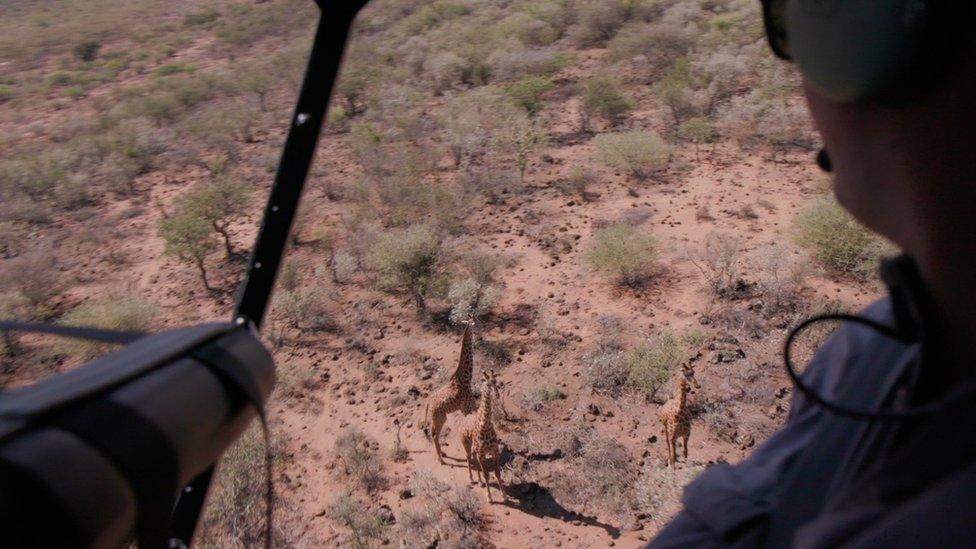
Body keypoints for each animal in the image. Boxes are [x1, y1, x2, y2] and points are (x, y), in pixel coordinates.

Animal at [422, 324, 478, 464]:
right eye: (472, 325)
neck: (466, 378)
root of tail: (428, 403)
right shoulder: (467, 407)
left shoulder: (468, 407)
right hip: (440, 418)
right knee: (435, 435)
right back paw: (440, 459)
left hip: (437, 418)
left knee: (432, 432)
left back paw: (442, 454)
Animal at [458, 368, 504, 500]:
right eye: (488, 384)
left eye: (497, 383)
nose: (497, 395)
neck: (486, 427)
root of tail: (465, 418)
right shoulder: (482, 453)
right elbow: (487, 474)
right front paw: (489, 497)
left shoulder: (494, 451)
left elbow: (497, 473)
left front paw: (504, 495)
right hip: (466, 444)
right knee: (468, 457)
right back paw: (471, 479)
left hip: (475, 449)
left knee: (474, 458)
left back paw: (479, 482)